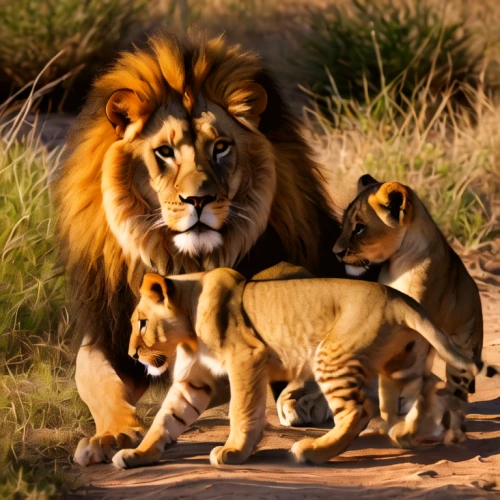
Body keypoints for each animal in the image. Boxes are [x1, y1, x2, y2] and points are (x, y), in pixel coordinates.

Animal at [55, 34, 344, 464]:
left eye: (221, 147)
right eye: (164, 152)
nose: (198, 200)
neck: (182, 258)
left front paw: (302, 397)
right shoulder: (110, 333)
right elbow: (95, 376)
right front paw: (111, 435)